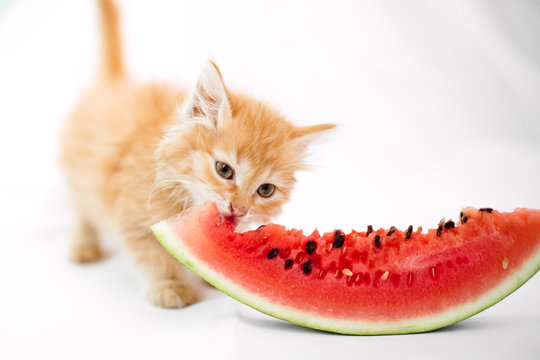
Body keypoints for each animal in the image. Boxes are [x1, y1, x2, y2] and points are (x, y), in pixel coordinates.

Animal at [62, 0, 334, 310]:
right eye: (224, 170)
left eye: (265, 190)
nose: (239, 209)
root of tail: (114, 84)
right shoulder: (131, 215)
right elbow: (152, 257)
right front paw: (170, 285)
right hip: (79, 174)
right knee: (83, 210)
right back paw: (84, 245)